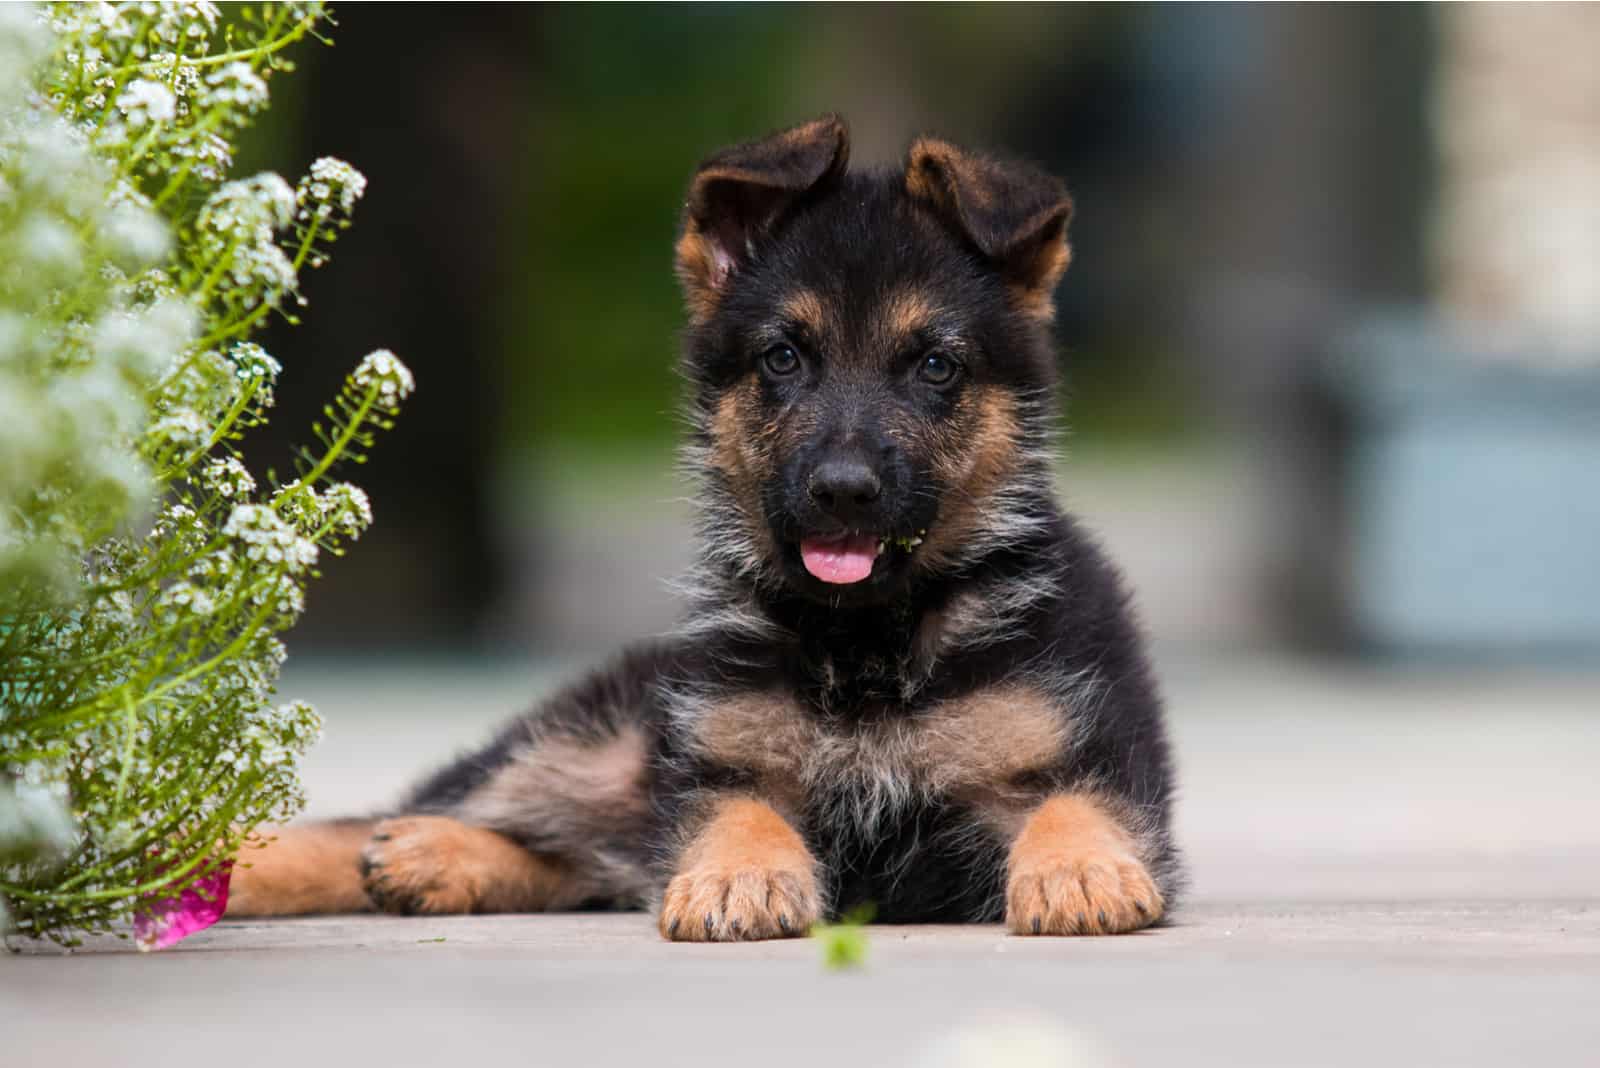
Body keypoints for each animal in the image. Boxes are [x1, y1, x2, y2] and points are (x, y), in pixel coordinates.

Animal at [236, 112, 1190, 940]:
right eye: (783, 358)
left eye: (935, 366)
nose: (843, 491)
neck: (867, 643)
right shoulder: (718, 756)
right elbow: (736, 813)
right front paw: (739, 875)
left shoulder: (1092, 749)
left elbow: (1077, 803)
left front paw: (1082, 870)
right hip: (602, 739)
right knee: (429, 814)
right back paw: (261, 862)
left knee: (584, 861)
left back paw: (434, 862)